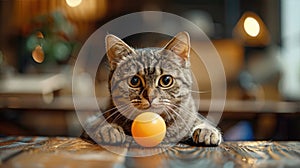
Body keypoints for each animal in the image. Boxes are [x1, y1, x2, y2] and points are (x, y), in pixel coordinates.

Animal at [81, 31, 221, 146]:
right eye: (134, 81)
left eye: (166, 80)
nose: (150, 96)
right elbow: (95, 123)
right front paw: (109, 128)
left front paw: (207, 130)